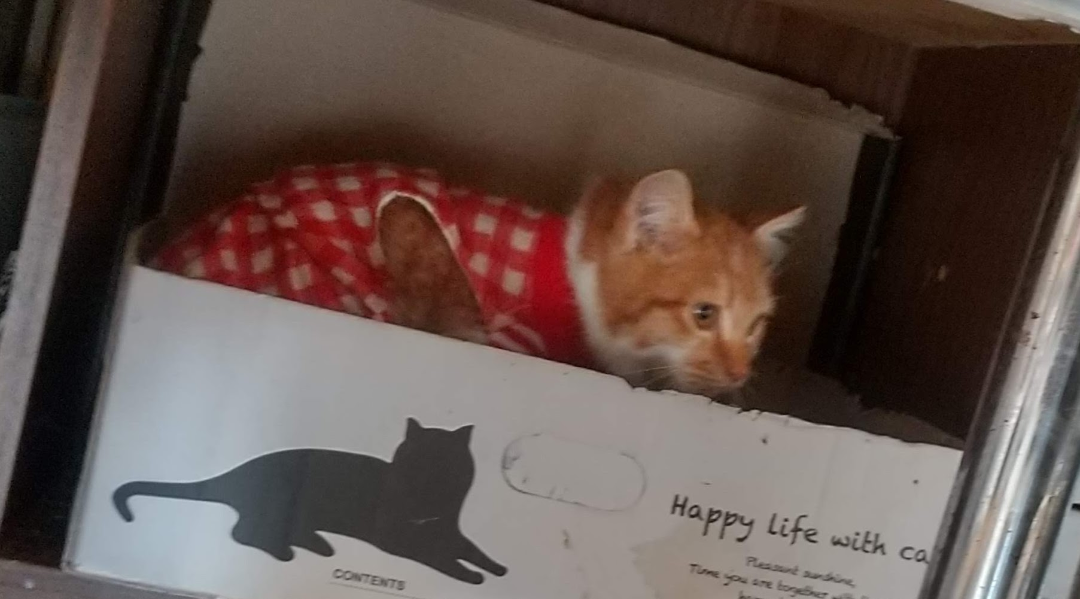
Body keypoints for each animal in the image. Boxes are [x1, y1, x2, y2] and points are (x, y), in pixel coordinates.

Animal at [113, 418, 507, 585]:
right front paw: (471, 575)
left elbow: (471, 549)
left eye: (445, 460)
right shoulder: (397, 537)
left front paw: (497, 568)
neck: (428, 500)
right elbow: (441, 558)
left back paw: (318, 546)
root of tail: (244, 468)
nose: (429, 469)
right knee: (243, 532)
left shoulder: (448, 530)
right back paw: (290, 552)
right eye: (419, 456)